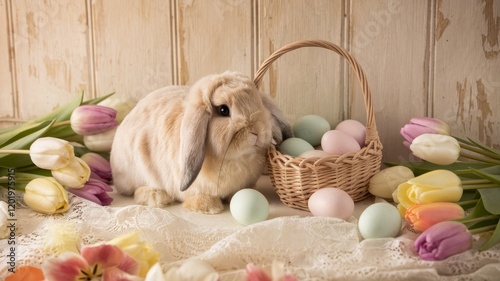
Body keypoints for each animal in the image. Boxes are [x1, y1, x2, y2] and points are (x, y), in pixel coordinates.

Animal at [111, 71, 292, 213]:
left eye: (259, 103)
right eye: (223, 110)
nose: (258, 131)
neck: (237, 158)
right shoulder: (197, 187)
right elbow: (200, 196)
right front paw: (209, 208)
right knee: (138, 189)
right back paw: (157, 196)